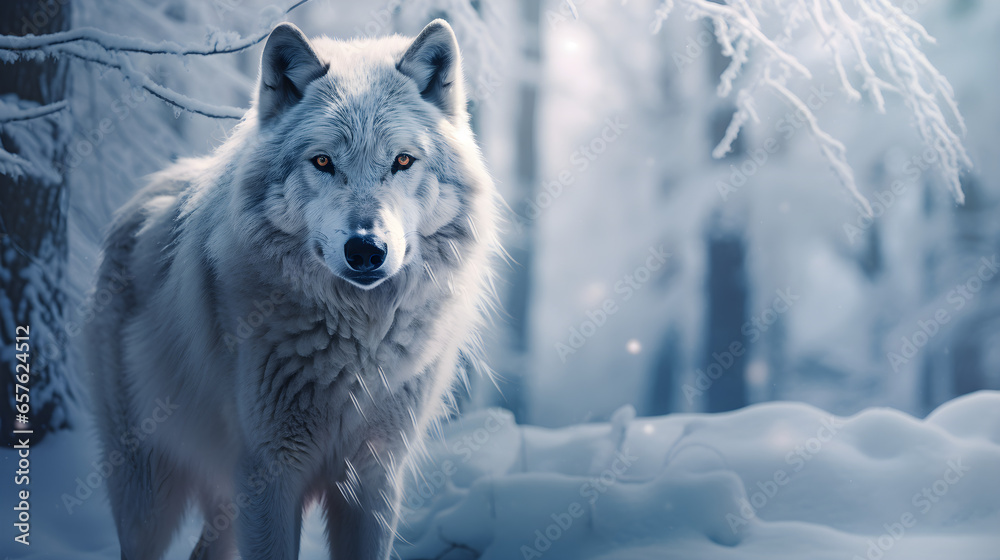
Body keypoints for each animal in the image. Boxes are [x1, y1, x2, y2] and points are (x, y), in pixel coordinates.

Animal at [85, 19, 498, 560]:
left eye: (403, 161)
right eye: (322, 161)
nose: (366, 249)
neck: (356, 347)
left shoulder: (375, 478)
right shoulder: (270, 474)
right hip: (148, 493)